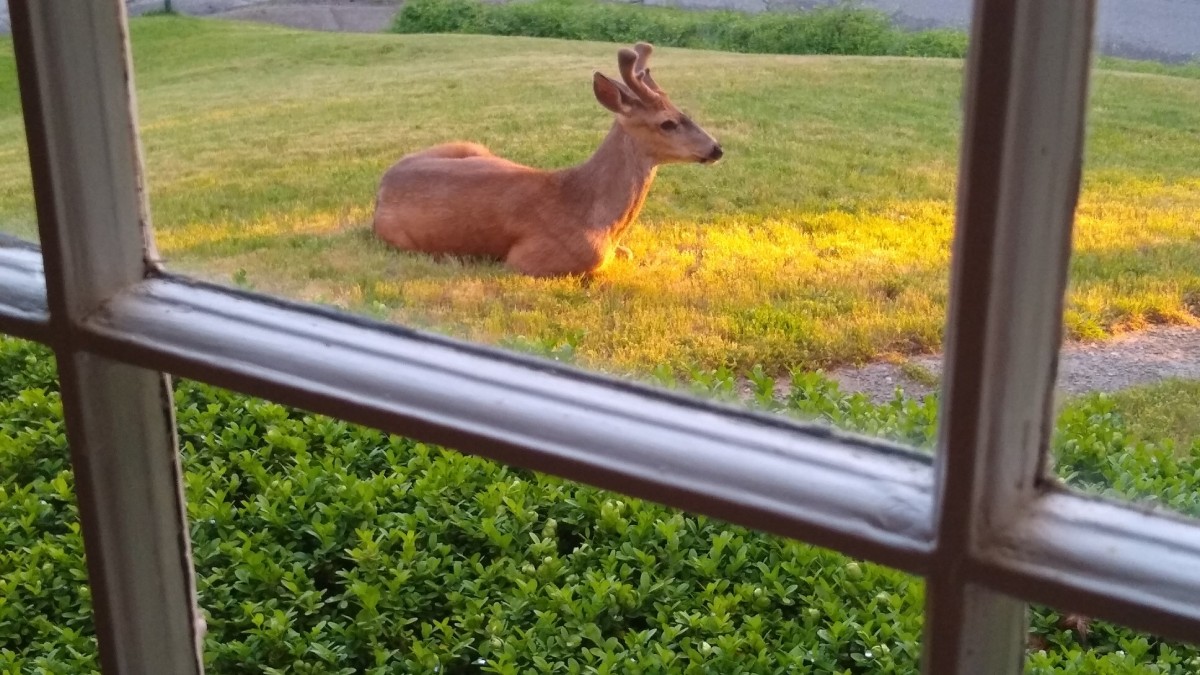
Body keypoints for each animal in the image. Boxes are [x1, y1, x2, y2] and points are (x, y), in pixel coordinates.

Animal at [371, 42, 722, 278]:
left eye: (682, 111)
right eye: (667, 123)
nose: (716, 148)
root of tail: (382, 186)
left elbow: (628, 251)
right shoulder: (525, 260)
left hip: (473, 148)